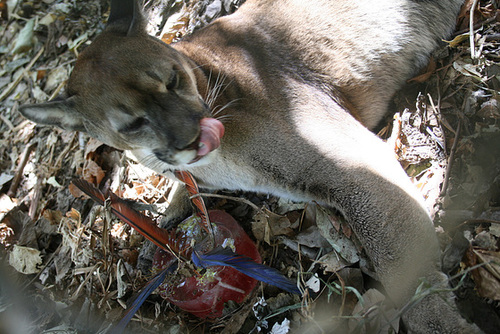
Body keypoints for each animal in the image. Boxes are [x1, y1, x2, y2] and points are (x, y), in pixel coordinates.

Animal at [19, 0, 480, 332]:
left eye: (172, 80)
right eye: (133, 123)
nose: (191, 136)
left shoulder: (353, 164)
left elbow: (398, 259)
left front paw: (440, 321)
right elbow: (184, 193)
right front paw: (164, 223)